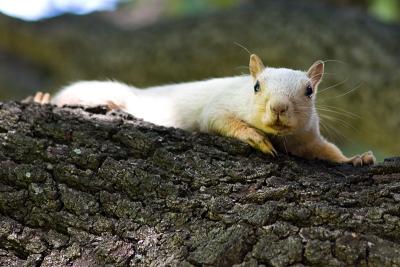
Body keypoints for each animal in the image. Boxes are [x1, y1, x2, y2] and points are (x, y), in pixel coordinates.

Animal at [33, 54, 376, 166]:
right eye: (256, 87)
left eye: (309, 91)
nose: (279, 108)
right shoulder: (217, 106)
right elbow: (220, 121)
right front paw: (256, 138)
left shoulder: (307, 138)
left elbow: (328, 152)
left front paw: (358, 159)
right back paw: (41, 98)